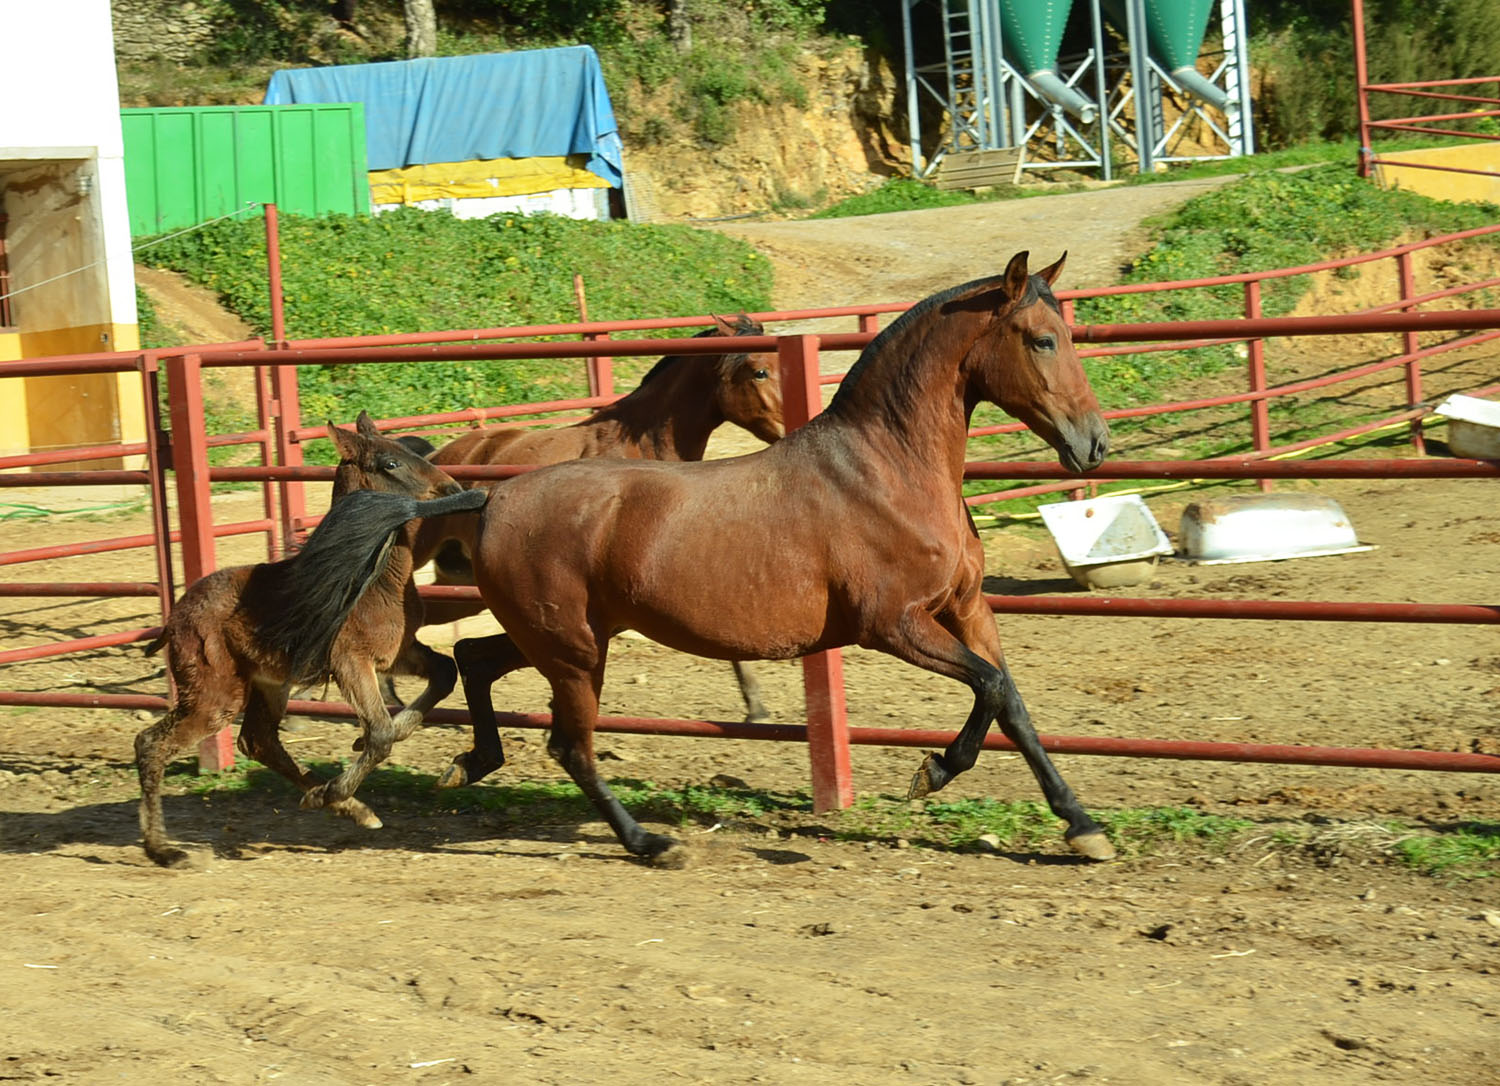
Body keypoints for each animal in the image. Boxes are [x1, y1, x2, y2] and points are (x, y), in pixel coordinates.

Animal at [134, 411, 483, 870]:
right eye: (389, 464)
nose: (455, 491)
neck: (373, 581)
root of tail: (174, 618)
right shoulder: (351, 662)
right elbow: (380, 733)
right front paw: (344, 778)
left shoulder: (397, 653)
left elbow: (442, 675)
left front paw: (358, 758)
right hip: (215, 695)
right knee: (152, 745)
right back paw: (165, 850)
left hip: (268, 685)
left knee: (259, 742)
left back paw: (345, 806)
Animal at [411, 313, 786, 720]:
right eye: (759, 371)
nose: (789, 427)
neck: (639, 447)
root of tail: (437, 457)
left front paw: (756, 706)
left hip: (462, 582)